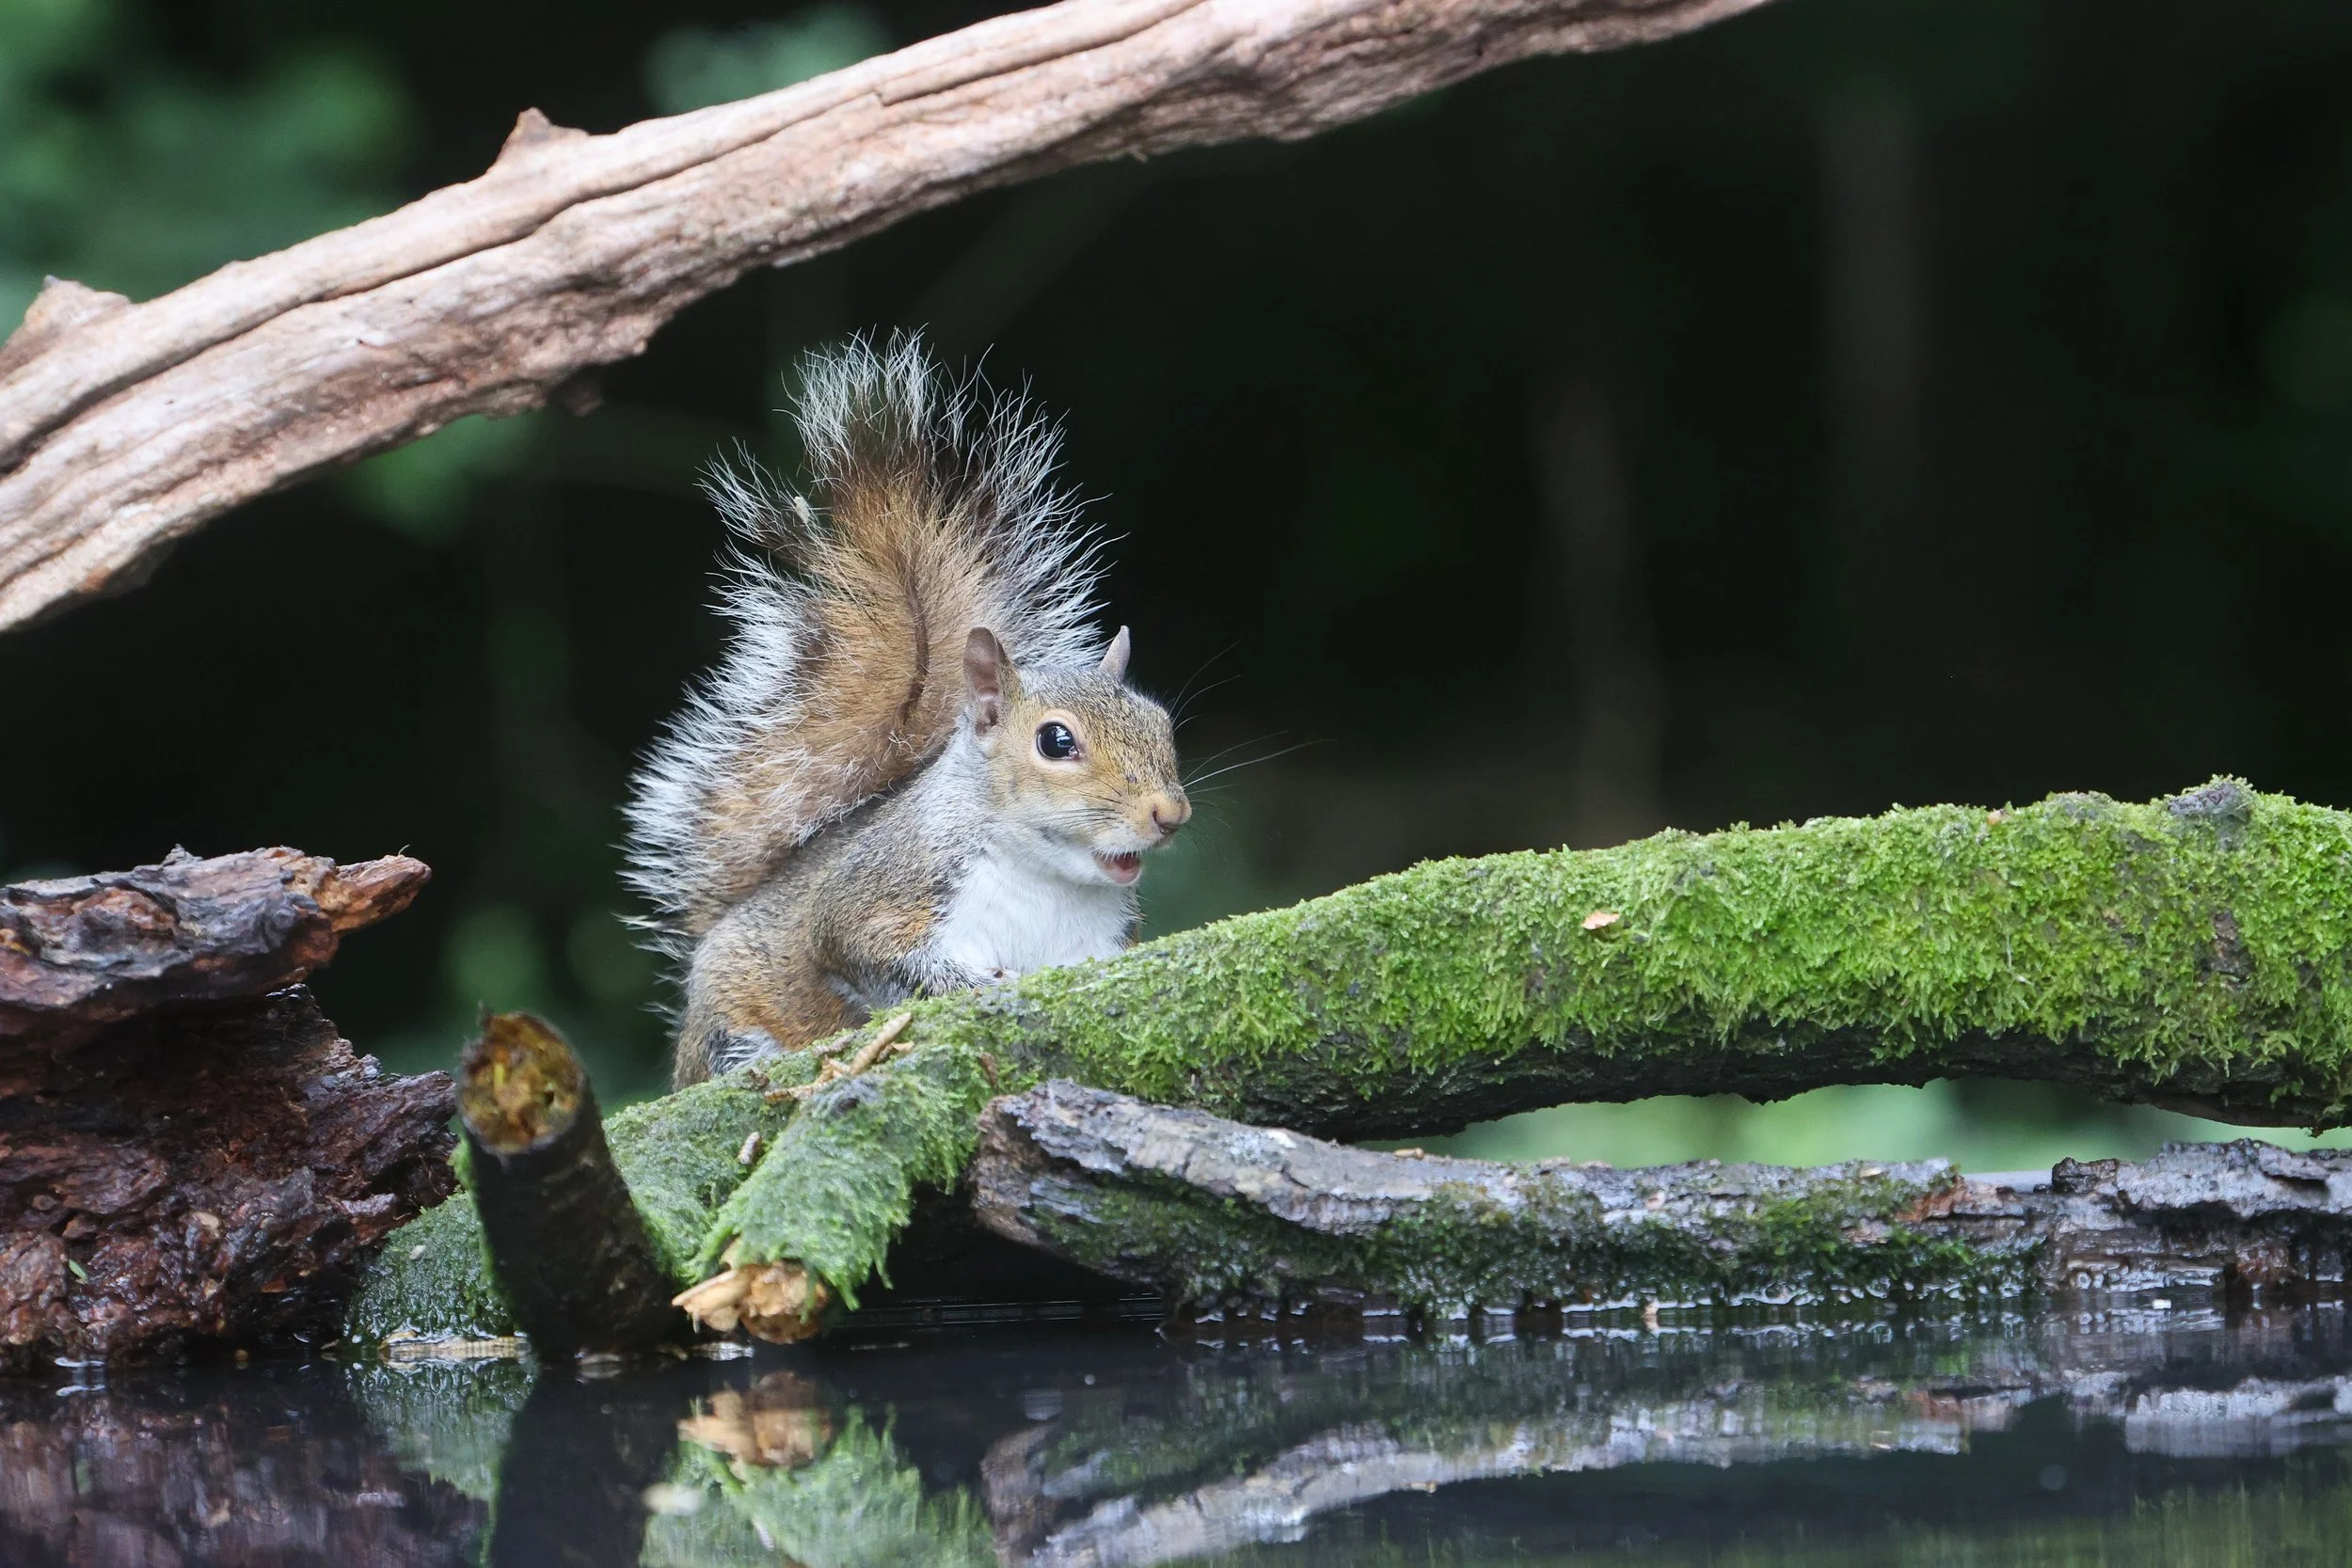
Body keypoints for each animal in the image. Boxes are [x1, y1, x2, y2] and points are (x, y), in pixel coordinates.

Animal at [625, 334, 1191, 1087]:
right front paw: (973, 983)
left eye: (1162, 725)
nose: (1170, 814)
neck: (1045, 879)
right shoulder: (877, 892)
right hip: (724, 1021)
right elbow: (862, 951)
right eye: (1056, 742)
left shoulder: (1098, 944)